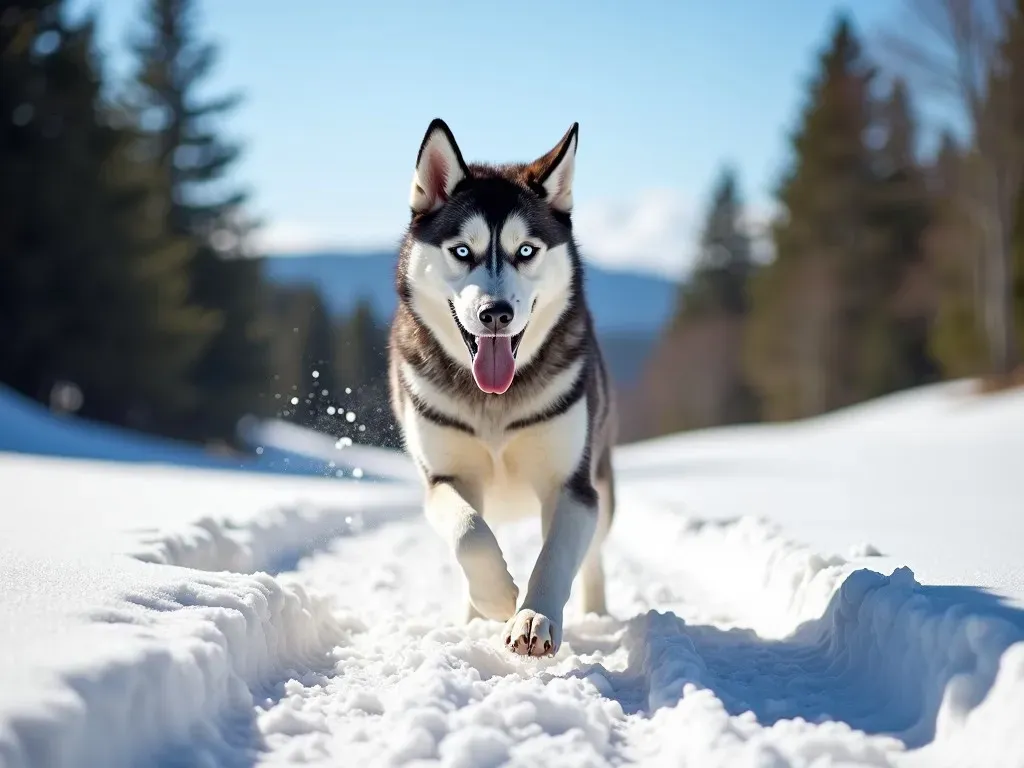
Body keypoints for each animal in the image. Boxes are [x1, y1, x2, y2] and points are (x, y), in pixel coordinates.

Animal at [387, 117, 614, 659]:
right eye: (462, 251)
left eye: (525, 250)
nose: (496, 314)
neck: (495, 402)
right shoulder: (444, 477)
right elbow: (470, 532)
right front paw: (497, 598)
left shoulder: (572, 485)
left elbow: (556, 555)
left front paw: (534, 618)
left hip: (604, 482)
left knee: (595, 555)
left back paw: (597, 612)